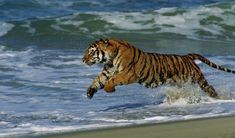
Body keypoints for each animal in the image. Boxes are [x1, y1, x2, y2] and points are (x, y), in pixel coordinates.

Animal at [82, 38, 235, 98]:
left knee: (209, 88)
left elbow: (113, 80)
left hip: (197, 79)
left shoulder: (128, 74)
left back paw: (218, 97)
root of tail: (187, 56)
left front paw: (110, 89)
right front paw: (90, 92)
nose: (83, 60)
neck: (111, 59)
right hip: (183, 82)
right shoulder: (107, 72)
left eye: (91, 52)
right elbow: (98, 80)